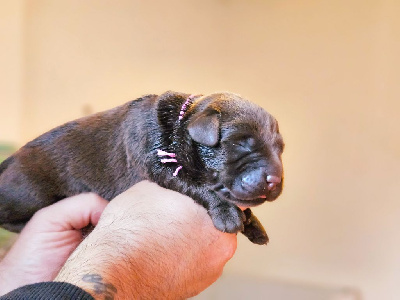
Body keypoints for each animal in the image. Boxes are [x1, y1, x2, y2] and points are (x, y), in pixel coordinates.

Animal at [0, 91, 284, 244]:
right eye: (240, 143)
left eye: (280, 148)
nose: (274, 180)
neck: (180, 122)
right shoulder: (156, 163)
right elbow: (195, 184)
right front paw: (227, 213)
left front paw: (254, 225)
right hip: (28, 194)